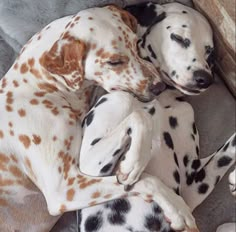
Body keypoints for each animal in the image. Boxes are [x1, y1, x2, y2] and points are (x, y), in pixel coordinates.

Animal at [0, 5, 195, 232]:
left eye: (136, 44)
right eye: (114, 61)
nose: (159, 87)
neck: (39, 86)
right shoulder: (64, 188)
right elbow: (144, 177)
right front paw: (175, 205)